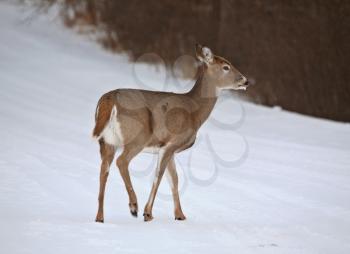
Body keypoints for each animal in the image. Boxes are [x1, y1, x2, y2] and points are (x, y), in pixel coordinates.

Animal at [93, 43, 249, 222]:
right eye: (226, 67)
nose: (246, 81)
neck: (195, 111)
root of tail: (109, 99)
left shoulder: (170, 150)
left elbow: (174, 179)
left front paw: (180, 215)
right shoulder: (171, 143)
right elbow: (159, 176)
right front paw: (148, 213)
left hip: (107, 141)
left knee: (103, 170)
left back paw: (100, 217)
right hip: (138, 137)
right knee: (122, 162)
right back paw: (133, 206)